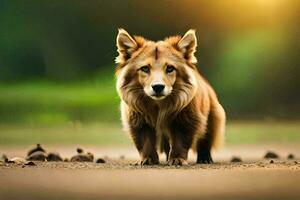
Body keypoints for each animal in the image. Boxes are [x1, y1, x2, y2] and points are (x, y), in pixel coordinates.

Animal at [115, 28, 225, 166]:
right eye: (145, 68)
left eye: (170, 68)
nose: (158, 87)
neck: (159, 105)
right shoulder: (138, 120)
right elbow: (145, 142)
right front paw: (148, 159)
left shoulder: (186, 119)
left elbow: (180, 142)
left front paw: (177, 159)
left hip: (213, 116)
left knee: (205, 140)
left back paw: (204, 158)